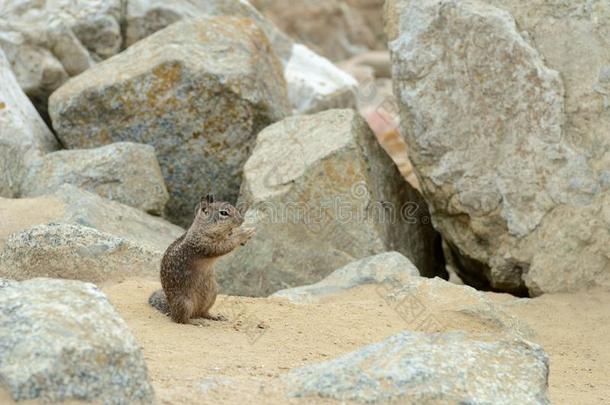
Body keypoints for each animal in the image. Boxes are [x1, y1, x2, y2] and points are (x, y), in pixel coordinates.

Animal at [148, 194, 253, 324]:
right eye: (224, 213)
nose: (242, 220)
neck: (202, 229)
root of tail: (170, 307)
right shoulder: (204, 246)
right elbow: (224, 247)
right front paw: (244, 233)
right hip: (184, 303)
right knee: (180, 319)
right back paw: (195, 322)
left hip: (212, 294)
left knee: (203, 312)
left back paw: (215, 316)